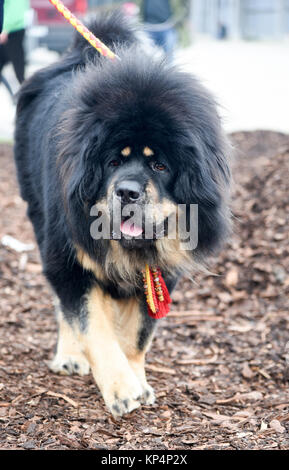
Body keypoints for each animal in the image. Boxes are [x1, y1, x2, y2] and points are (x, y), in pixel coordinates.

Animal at [13, 11, 231, 416]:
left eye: (160, 165)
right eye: (113, 161)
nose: (127, 191)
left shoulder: (161, 272)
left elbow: (136, 336)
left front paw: (137, 381)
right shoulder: (71, 261)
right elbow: (94, 327)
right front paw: (120, 388)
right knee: (63, 306)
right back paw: (70, 355)